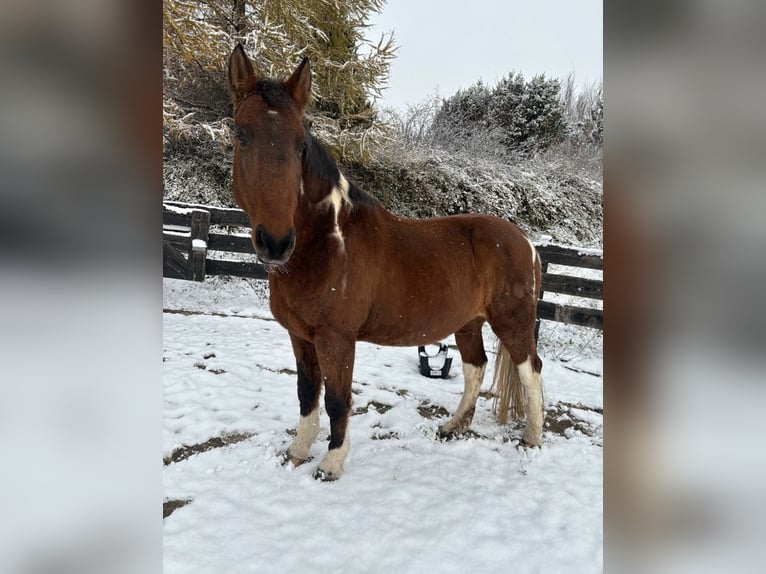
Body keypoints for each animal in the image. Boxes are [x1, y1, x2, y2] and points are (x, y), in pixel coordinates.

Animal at [227, 45, 544, 481]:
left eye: (300, 144)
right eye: (241, 135)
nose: (276, 242)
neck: (327, 241)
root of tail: (526, 242)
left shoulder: (336, 339)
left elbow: (337, 399)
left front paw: (331, 463)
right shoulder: (300, 336)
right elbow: (307, 394)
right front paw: (296, 452)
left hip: (513, 322)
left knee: (531, 370)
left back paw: (532, 438)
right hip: (468, 322)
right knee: (474, 368)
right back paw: (453, 425)